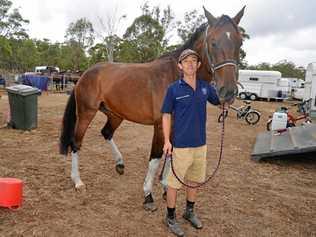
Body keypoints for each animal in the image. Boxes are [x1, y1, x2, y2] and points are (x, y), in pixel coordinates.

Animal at [60, 6, 246, 211]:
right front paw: (148, 194)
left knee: (106, 132)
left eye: (240, 42)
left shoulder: (175, 126)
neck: (176, 76)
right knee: (76, 142)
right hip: (86, 113)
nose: (228, 91)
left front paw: (165, 187)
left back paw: (120, 163)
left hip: (115, 114)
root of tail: (85, 74)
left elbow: (170, 155)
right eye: (213, 42)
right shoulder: (160, 126)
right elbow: (156, 158)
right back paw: (78, 181)